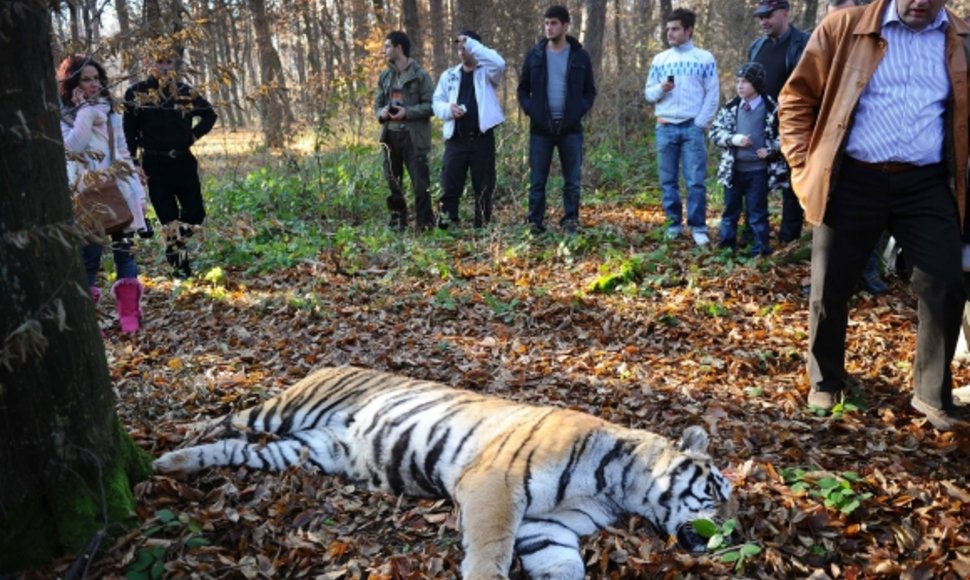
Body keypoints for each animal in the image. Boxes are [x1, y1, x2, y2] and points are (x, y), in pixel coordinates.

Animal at [157, 364, 732, 576]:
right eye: (716, 493)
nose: (733, 536)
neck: (619, 487)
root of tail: (331, 361)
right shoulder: (495, 486)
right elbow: (489, 552)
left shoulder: (548, 528)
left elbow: (563, 568)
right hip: (285, 408)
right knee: (231, 417)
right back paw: (179, 436)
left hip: (307, 451)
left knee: (235, 448)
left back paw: (173, 463)